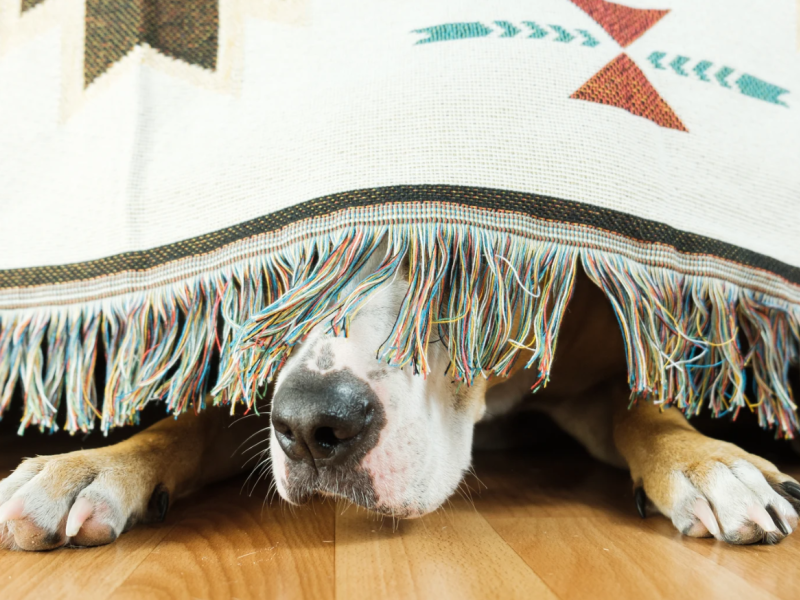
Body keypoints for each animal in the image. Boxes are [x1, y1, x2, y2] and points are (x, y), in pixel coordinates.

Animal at [1, 250, 800, 552]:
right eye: (292, 271)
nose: (312, 425)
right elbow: (187, 425)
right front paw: (88, 467)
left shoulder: (593, 374)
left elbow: (647, 409)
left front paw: (710, 465)